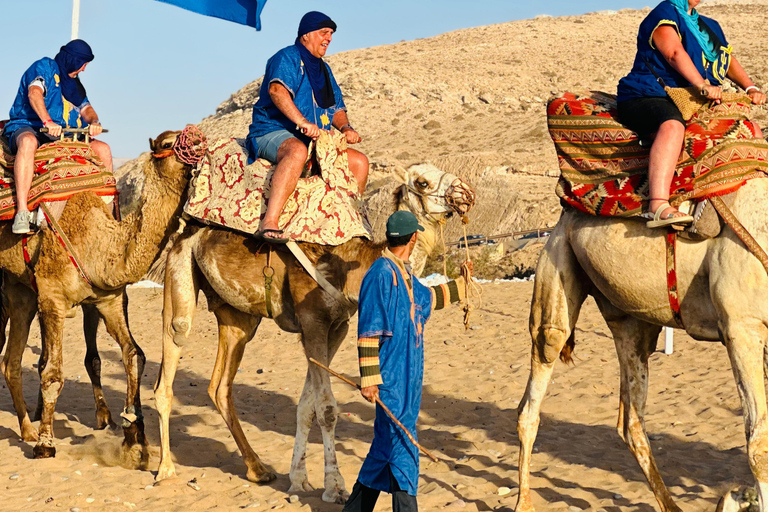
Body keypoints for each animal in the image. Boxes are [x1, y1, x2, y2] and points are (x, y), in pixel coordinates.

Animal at [0, 130, 192, 464]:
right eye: (169, 143)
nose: (199, 143)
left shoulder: (109, 300)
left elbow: (133, 354)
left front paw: (135, 438)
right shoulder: (52, 298)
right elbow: (52, 373)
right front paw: (46, 444)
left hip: (20, 291)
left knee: (10, 361)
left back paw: (27, 430)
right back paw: (33, 433)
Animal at [153, 164, 475, 503]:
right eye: (422, 182)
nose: (465, 192)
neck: (352, 268)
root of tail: (187, 231)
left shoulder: (337, 328)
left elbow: (307, 405)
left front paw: (299, 479)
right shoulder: (313, 322)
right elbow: (327, 408)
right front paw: (334, 486)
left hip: (238, 318)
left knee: (219, 386)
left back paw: (258, 469)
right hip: (179, 272)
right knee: (173, 352)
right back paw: (166, 470)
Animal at [515, 177, 768, 512]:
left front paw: (737, 497)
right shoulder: (742, 326)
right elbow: (759, 444)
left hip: (632, 321)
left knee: (630, 420)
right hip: (556, 262)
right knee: (537, 382)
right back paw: (523, 503)